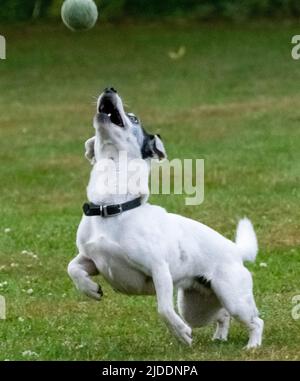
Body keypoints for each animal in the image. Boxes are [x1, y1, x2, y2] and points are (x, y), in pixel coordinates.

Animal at [67, 86, 262, 348]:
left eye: (134, 118)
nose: (109, 88)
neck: (112, 207)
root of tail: (235, 250)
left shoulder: (159, 269)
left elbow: (163, 309)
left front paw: (181, 333)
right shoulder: (90, 259)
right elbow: (72, 268)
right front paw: (89, 289)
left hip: (233, 297)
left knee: (255, 320)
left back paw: (253, 345)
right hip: (196, 307)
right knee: (222, 316)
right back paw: (220, 337)